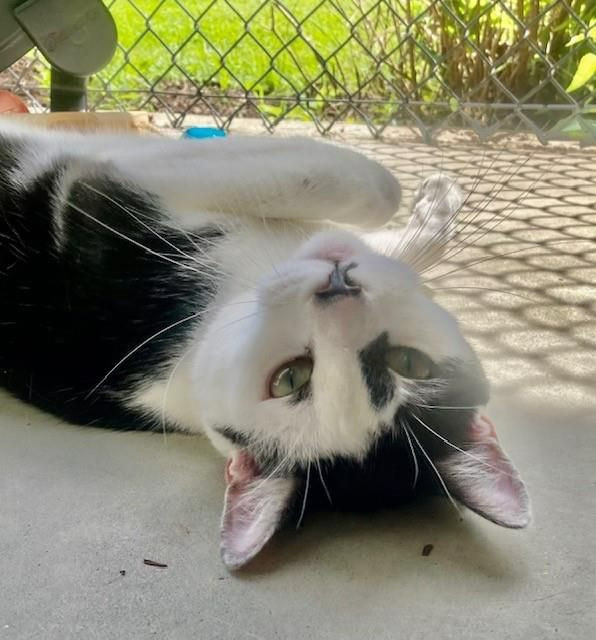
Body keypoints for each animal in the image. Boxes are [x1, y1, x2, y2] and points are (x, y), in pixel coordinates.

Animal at [0, 121, 532, 568]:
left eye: (288, 378)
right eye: (411, 363)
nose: (338, 288)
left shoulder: (92, 200)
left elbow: (373, 192)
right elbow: (382, 208)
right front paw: (435, 205)